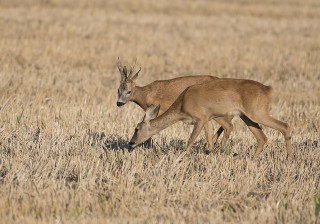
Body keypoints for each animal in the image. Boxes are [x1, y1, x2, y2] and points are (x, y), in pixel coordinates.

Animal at [128, 79, 292, 159]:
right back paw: (253, 160)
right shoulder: (206, 119)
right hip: (247, 116)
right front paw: (211, 155)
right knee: (262, 137)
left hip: (257, 112)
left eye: (137, 128)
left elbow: (191, 140)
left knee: (285, 126)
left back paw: (288, 159)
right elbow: (209, 138)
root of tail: (268, 90)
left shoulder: (200, 118)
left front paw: (181, 157)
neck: (182, 104)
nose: (131, 143)